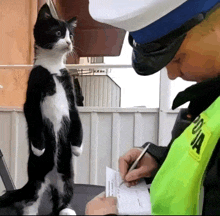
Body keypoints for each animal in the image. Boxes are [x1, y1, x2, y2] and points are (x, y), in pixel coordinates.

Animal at [0, 3, 82, 216]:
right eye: (58, 33)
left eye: (71, 35)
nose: (68, 43)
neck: (52, 68)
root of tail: (51, 179)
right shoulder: (32, 94)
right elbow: (35, 121)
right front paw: (38, 147)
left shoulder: (70, 95)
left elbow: (77, 119)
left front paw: (78, 148)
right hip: (36, 176)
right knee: (31, 199)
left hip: (66, 175)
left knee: (61, 197)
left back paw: (65, 210)